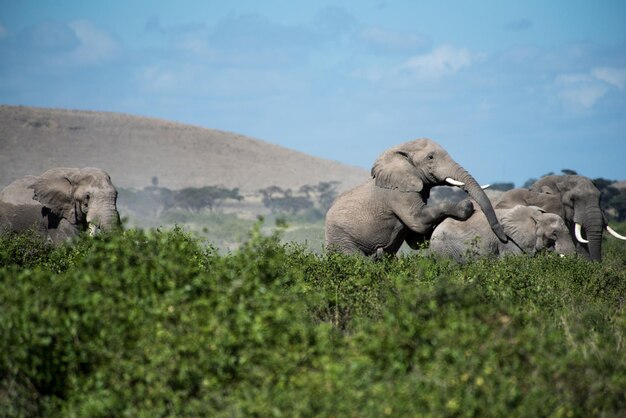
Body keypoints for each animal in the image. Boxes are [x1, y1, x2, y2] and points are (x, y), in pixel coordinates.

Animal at [324, 139, 504, 256]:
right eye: (430, 157)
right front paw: (466, 206)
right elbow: (418, 222)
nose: (503, 238)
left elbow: (417, 239)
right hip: (342, 239)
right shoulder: (398, 193)